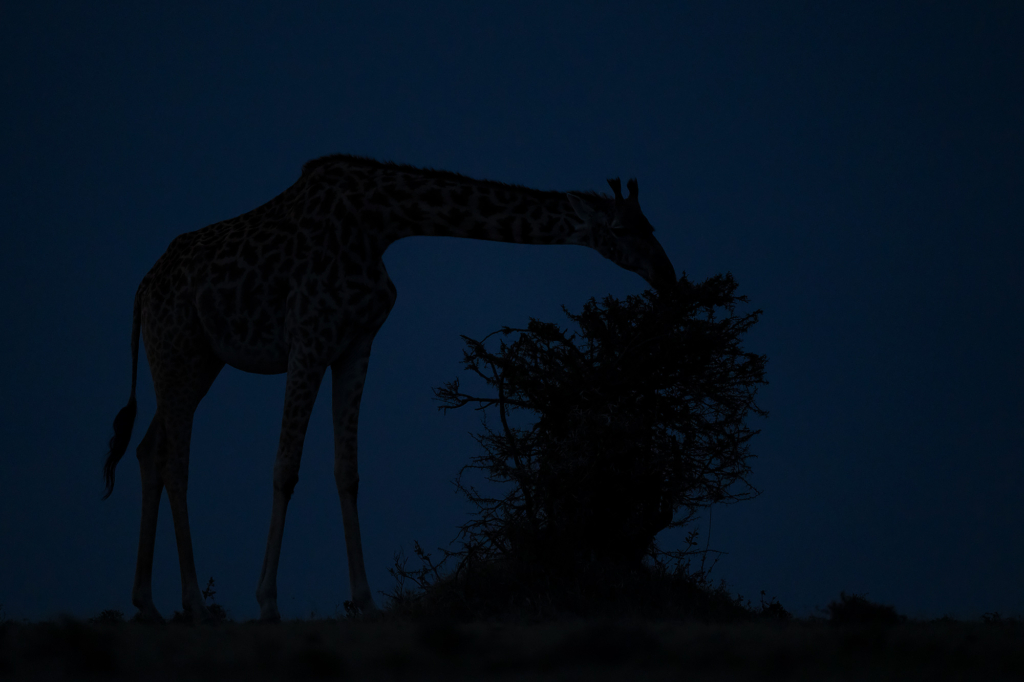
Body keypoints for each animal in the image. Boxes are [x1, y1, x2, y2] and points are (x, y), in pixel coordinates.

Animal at [101, 153, 671, 622]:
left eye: (649, 224)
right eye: (620, 228)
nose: (666, 275)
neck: (381, 223)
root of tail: (142, 288)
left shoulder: (355, 344)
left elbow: (347, 470)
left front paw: (366, 600)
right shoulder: (308, 340)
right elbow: (286, 466)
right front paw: (267, 601)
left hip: (199, 361)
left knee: (150, 449)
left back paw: (147, 602)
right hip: (176, 350)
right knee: (176, 462)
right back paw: (195, 604)